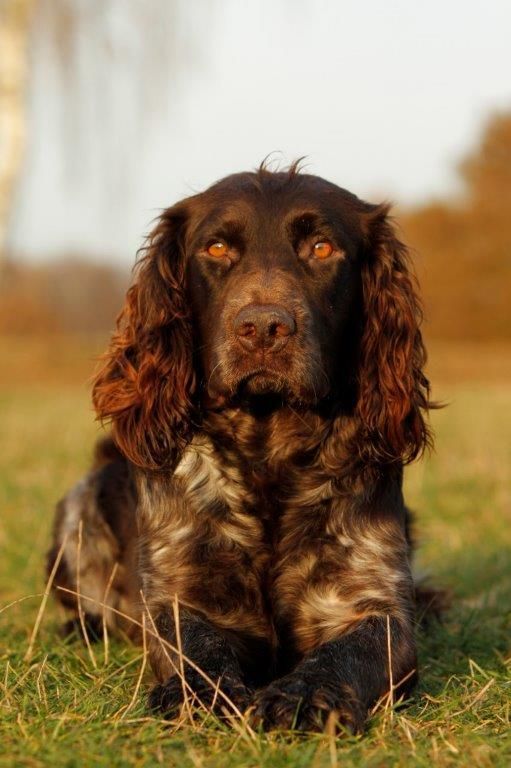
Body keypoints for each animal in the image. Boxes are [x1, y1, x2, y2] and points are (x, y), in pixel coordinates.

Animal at [48, 163, 433, 733]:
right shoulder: (179, 596)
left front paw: (303, 695)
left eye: (322, 248)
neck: (268, 447)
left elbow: (348, 650)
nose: (264, 328)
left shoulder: (375, 605)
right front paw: (202, 695)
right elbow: (197, 647)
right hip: (81, 507)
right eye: (216, 248)